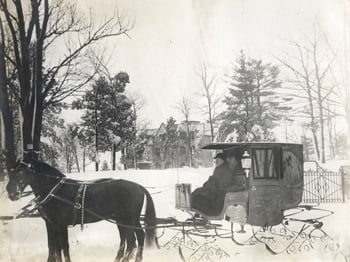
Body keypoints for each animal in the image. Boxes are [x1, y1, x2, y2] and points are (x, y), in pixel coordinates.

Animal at [5, 159, 157, 262]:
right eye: (11, 172)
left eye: (21, 172)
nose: (10, 192)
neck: (55, 190)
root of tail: (138, 186)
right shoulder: (51, 224)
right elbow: (52, 246)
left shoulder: (61, 226)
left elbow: (63, 247)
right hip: (126, 220)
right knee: (137, 237)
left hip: (128, 220)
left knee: (132, 240)